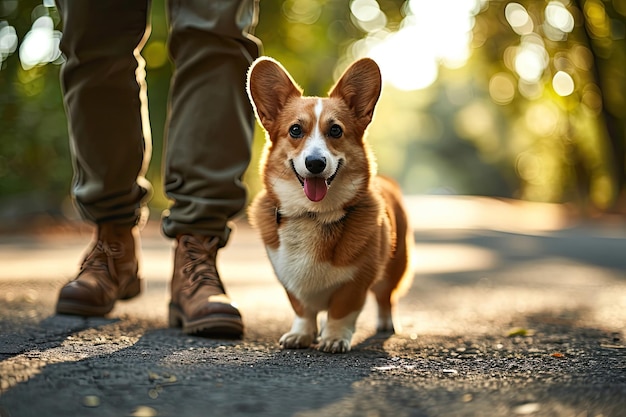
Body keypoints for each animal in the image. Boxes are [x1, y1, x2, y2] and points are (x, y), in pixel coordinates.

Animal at [246, 57, 412, 352]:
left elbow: (341, 311)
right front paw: (301, 334)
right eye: (295, 130)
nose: (315, 163)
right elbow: (302, 309)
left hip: (395, 264)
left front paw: (334, 338)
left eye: (335, 130)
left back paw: (385, 322)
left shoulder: (357, 281)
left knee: (386, 296)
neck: (312, 215)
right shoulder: (288, 279)